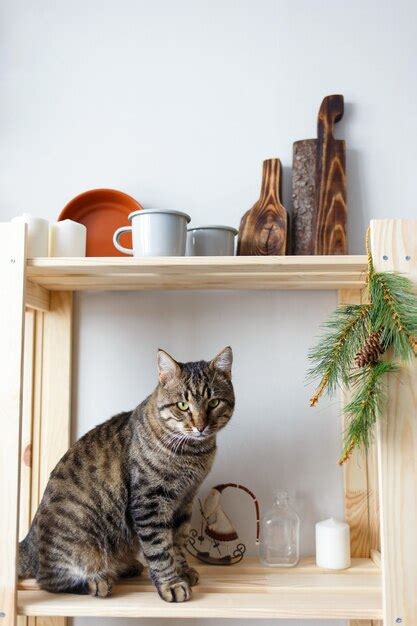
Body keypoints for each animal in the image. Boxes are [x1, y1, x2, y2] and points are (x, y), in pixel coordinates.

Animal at [18, 346, 234, 600]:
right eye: (182, 405)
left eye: (214, 402)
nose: (201, 426)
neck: (193, 453)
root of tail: (28, 543)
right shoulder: (150, 502)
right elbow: (160, 549)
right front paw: (170, 583)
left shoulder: (185, 500)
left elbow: (177, 541)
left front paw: (182, 570)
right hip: (78, 545)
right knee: (48, 580)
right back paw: (97, 581)